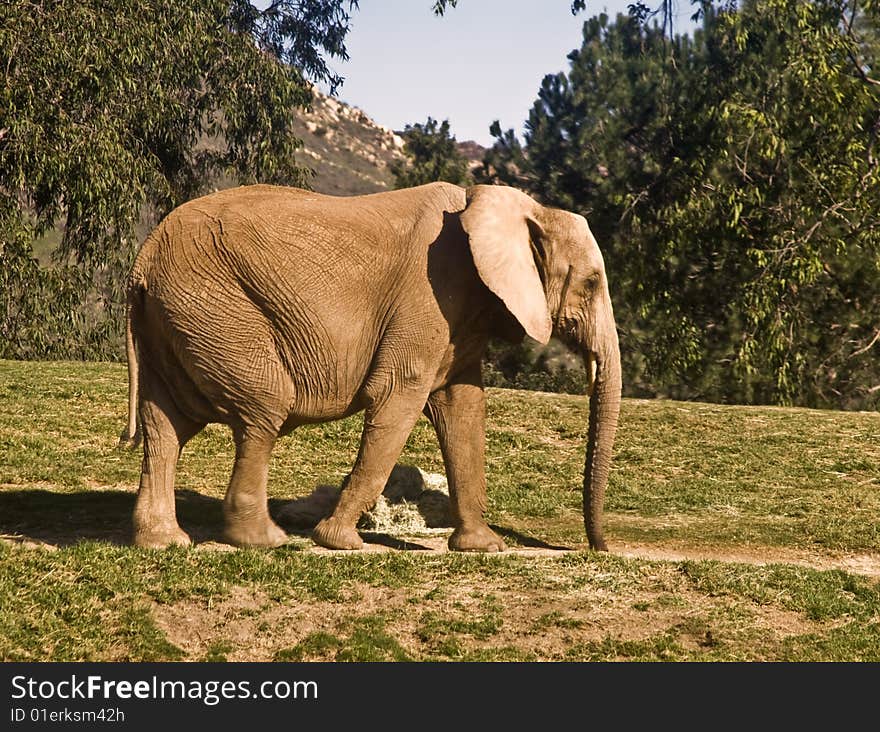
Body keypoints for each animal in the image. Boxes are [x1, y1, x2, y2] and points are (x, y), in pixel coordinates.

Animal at [120, 180, 624, 552]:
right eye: (591, 282)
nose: (596, 549)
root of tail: (142, 260)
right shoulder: (429, 295)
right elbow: (399, 397)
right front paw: (339, 542)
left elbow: (463, 410)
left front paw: (483, 548)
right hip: (215, 308)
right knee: (261, 412)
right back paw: (265, 541)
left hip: (177, 317)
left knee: (166, 425)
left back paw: (164, 544)